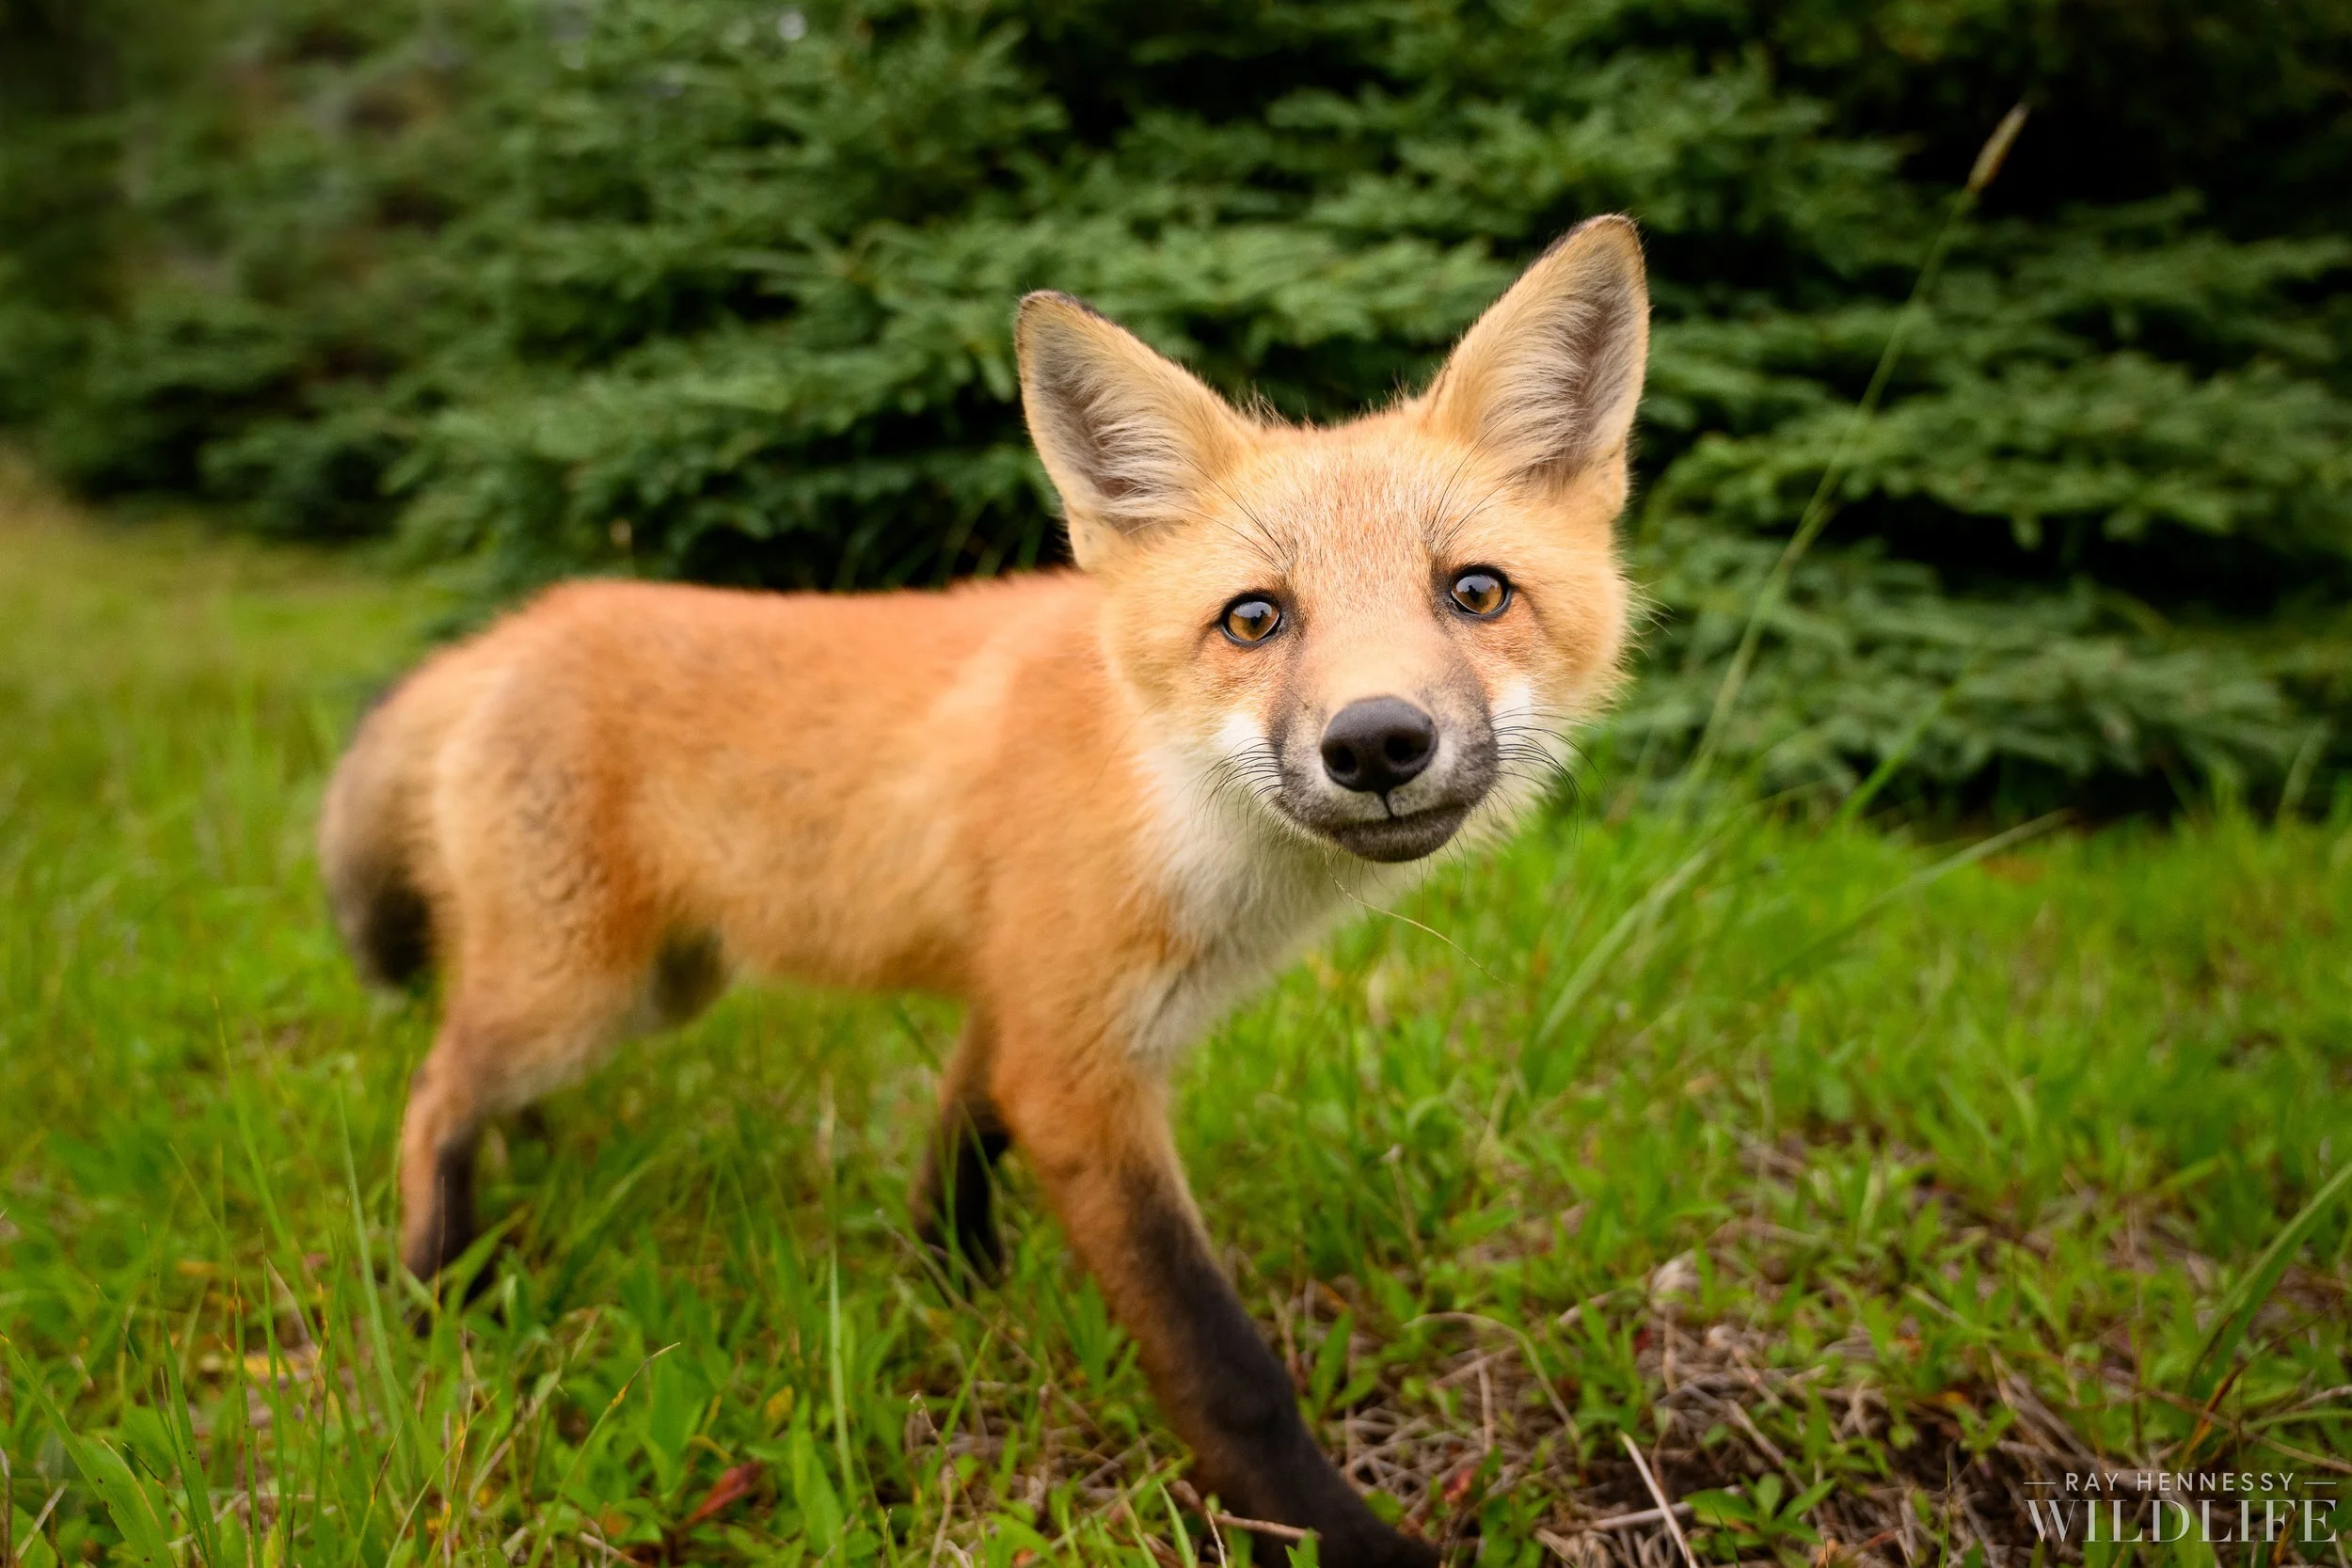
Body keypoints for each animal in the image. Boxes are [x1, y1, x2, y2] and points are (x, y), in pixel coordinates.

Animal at [318, 215, 1648, 1565]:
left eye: (1474, 591)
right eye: (1255, 619)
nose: (1377, 743)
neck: (1171, 800)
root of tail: (503, 633)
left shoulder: (1024, 996)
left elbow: (957, 1137)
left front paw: (952, 1284)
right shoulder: (1077, 1066)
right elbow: (1225, 1365)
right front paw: (1335, 1533)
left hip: (651, 985)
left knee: (477, 1073)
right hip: (584, 990)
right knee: (434, 1088)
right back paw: (432, 1288)